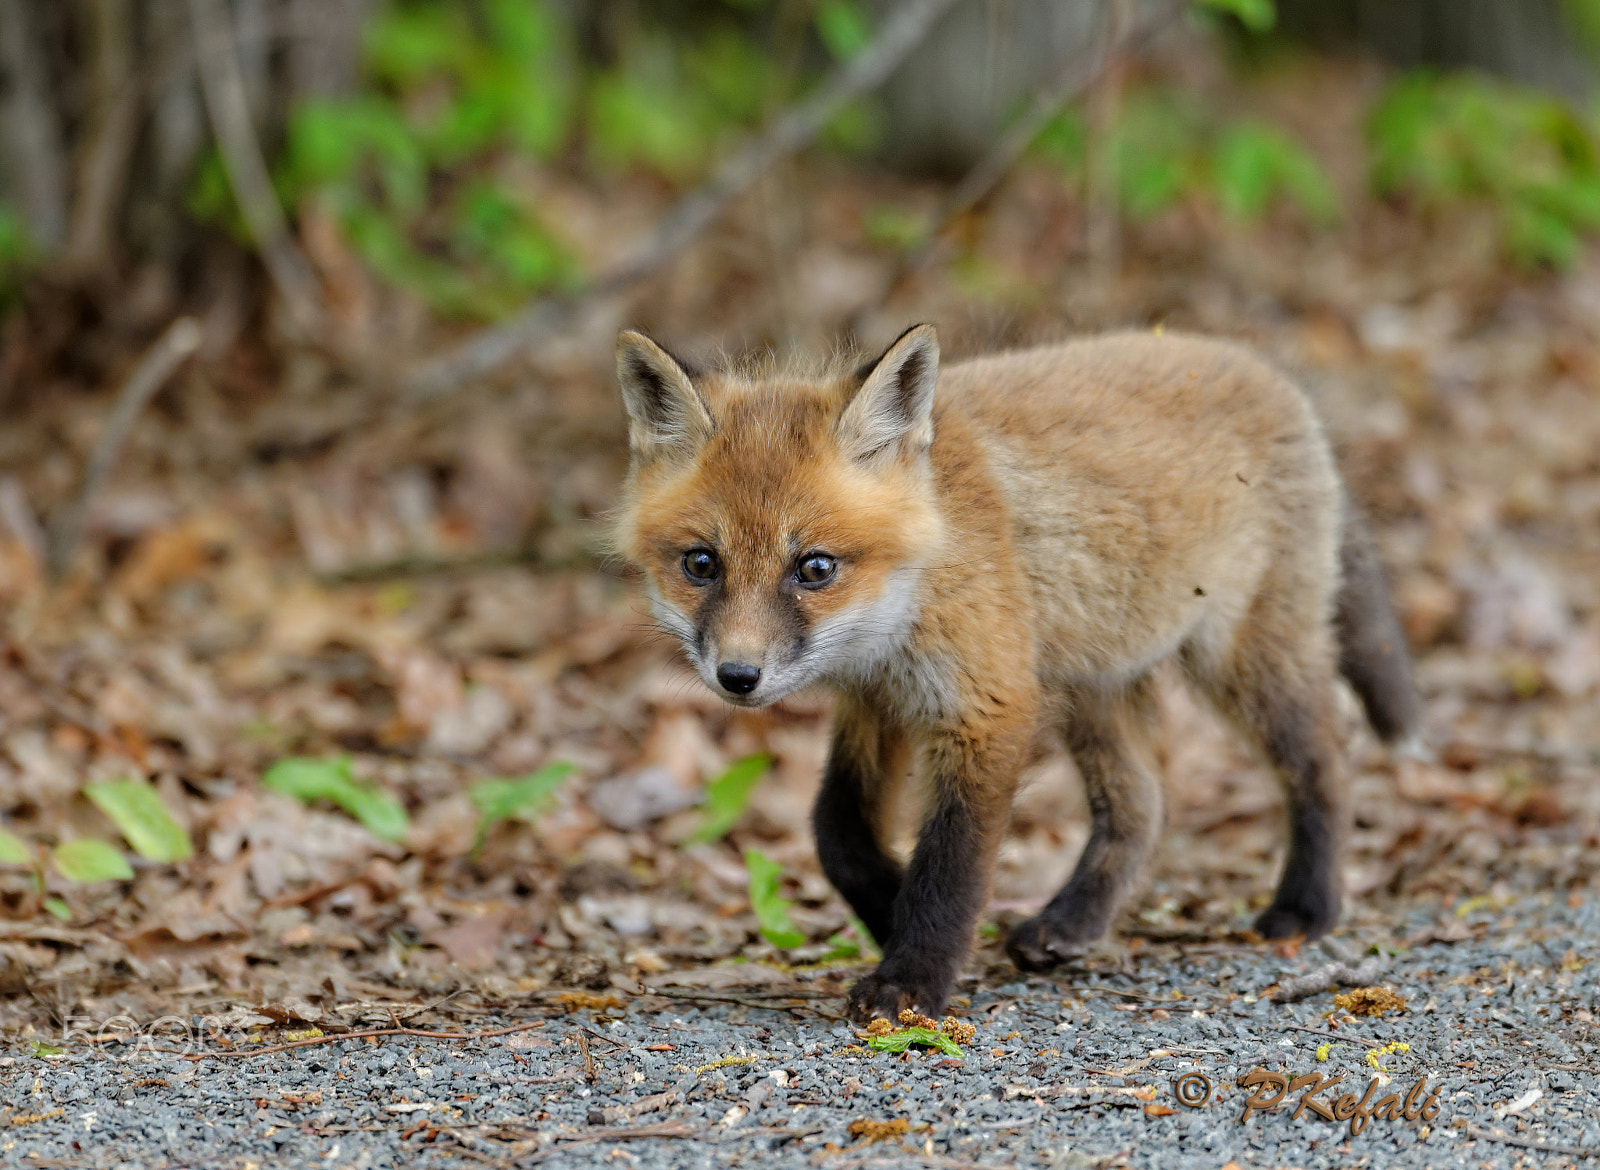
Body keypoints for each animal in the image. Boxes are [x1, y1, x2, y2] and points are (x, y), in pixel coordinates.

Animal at [611, 324, 1423, 1023]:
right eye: (701, 564)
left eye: (813, 568)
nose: (737, 675)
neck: (922, 574)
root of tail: (1271, 373)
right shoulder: (878, 701)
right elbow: (836, 831)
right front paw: (889, 909)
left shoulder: (988, 707)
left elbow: (951, 865)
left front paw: (912, 979)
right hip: (1091, 687)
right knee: (1145, 804)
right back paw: (1071, 923)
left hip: (1237, 659)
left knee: (1325, 755)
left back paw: (1308, 906)